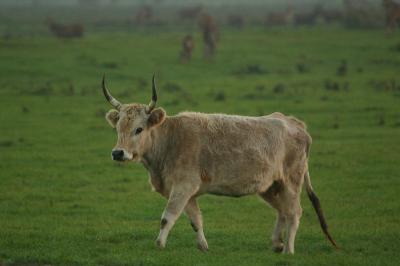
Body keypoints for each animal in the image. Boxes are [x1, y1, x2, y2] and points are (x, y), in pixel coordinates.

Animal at [101, 75, 338, 254]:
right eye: (118, 128)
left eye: (139, 129)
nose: (118, 152)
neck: (171, 139)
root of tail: (295, 123)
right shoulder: (189, 191)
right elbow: (195, 220)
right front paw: (203, 247)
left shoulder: (183, 186)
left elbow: (167, 217)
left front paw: (159, 244)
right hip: (270, 186)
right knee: (283, 211)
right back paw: (276, 243)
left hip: (291, 180)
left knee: (294, 212)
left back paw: (288, 249)